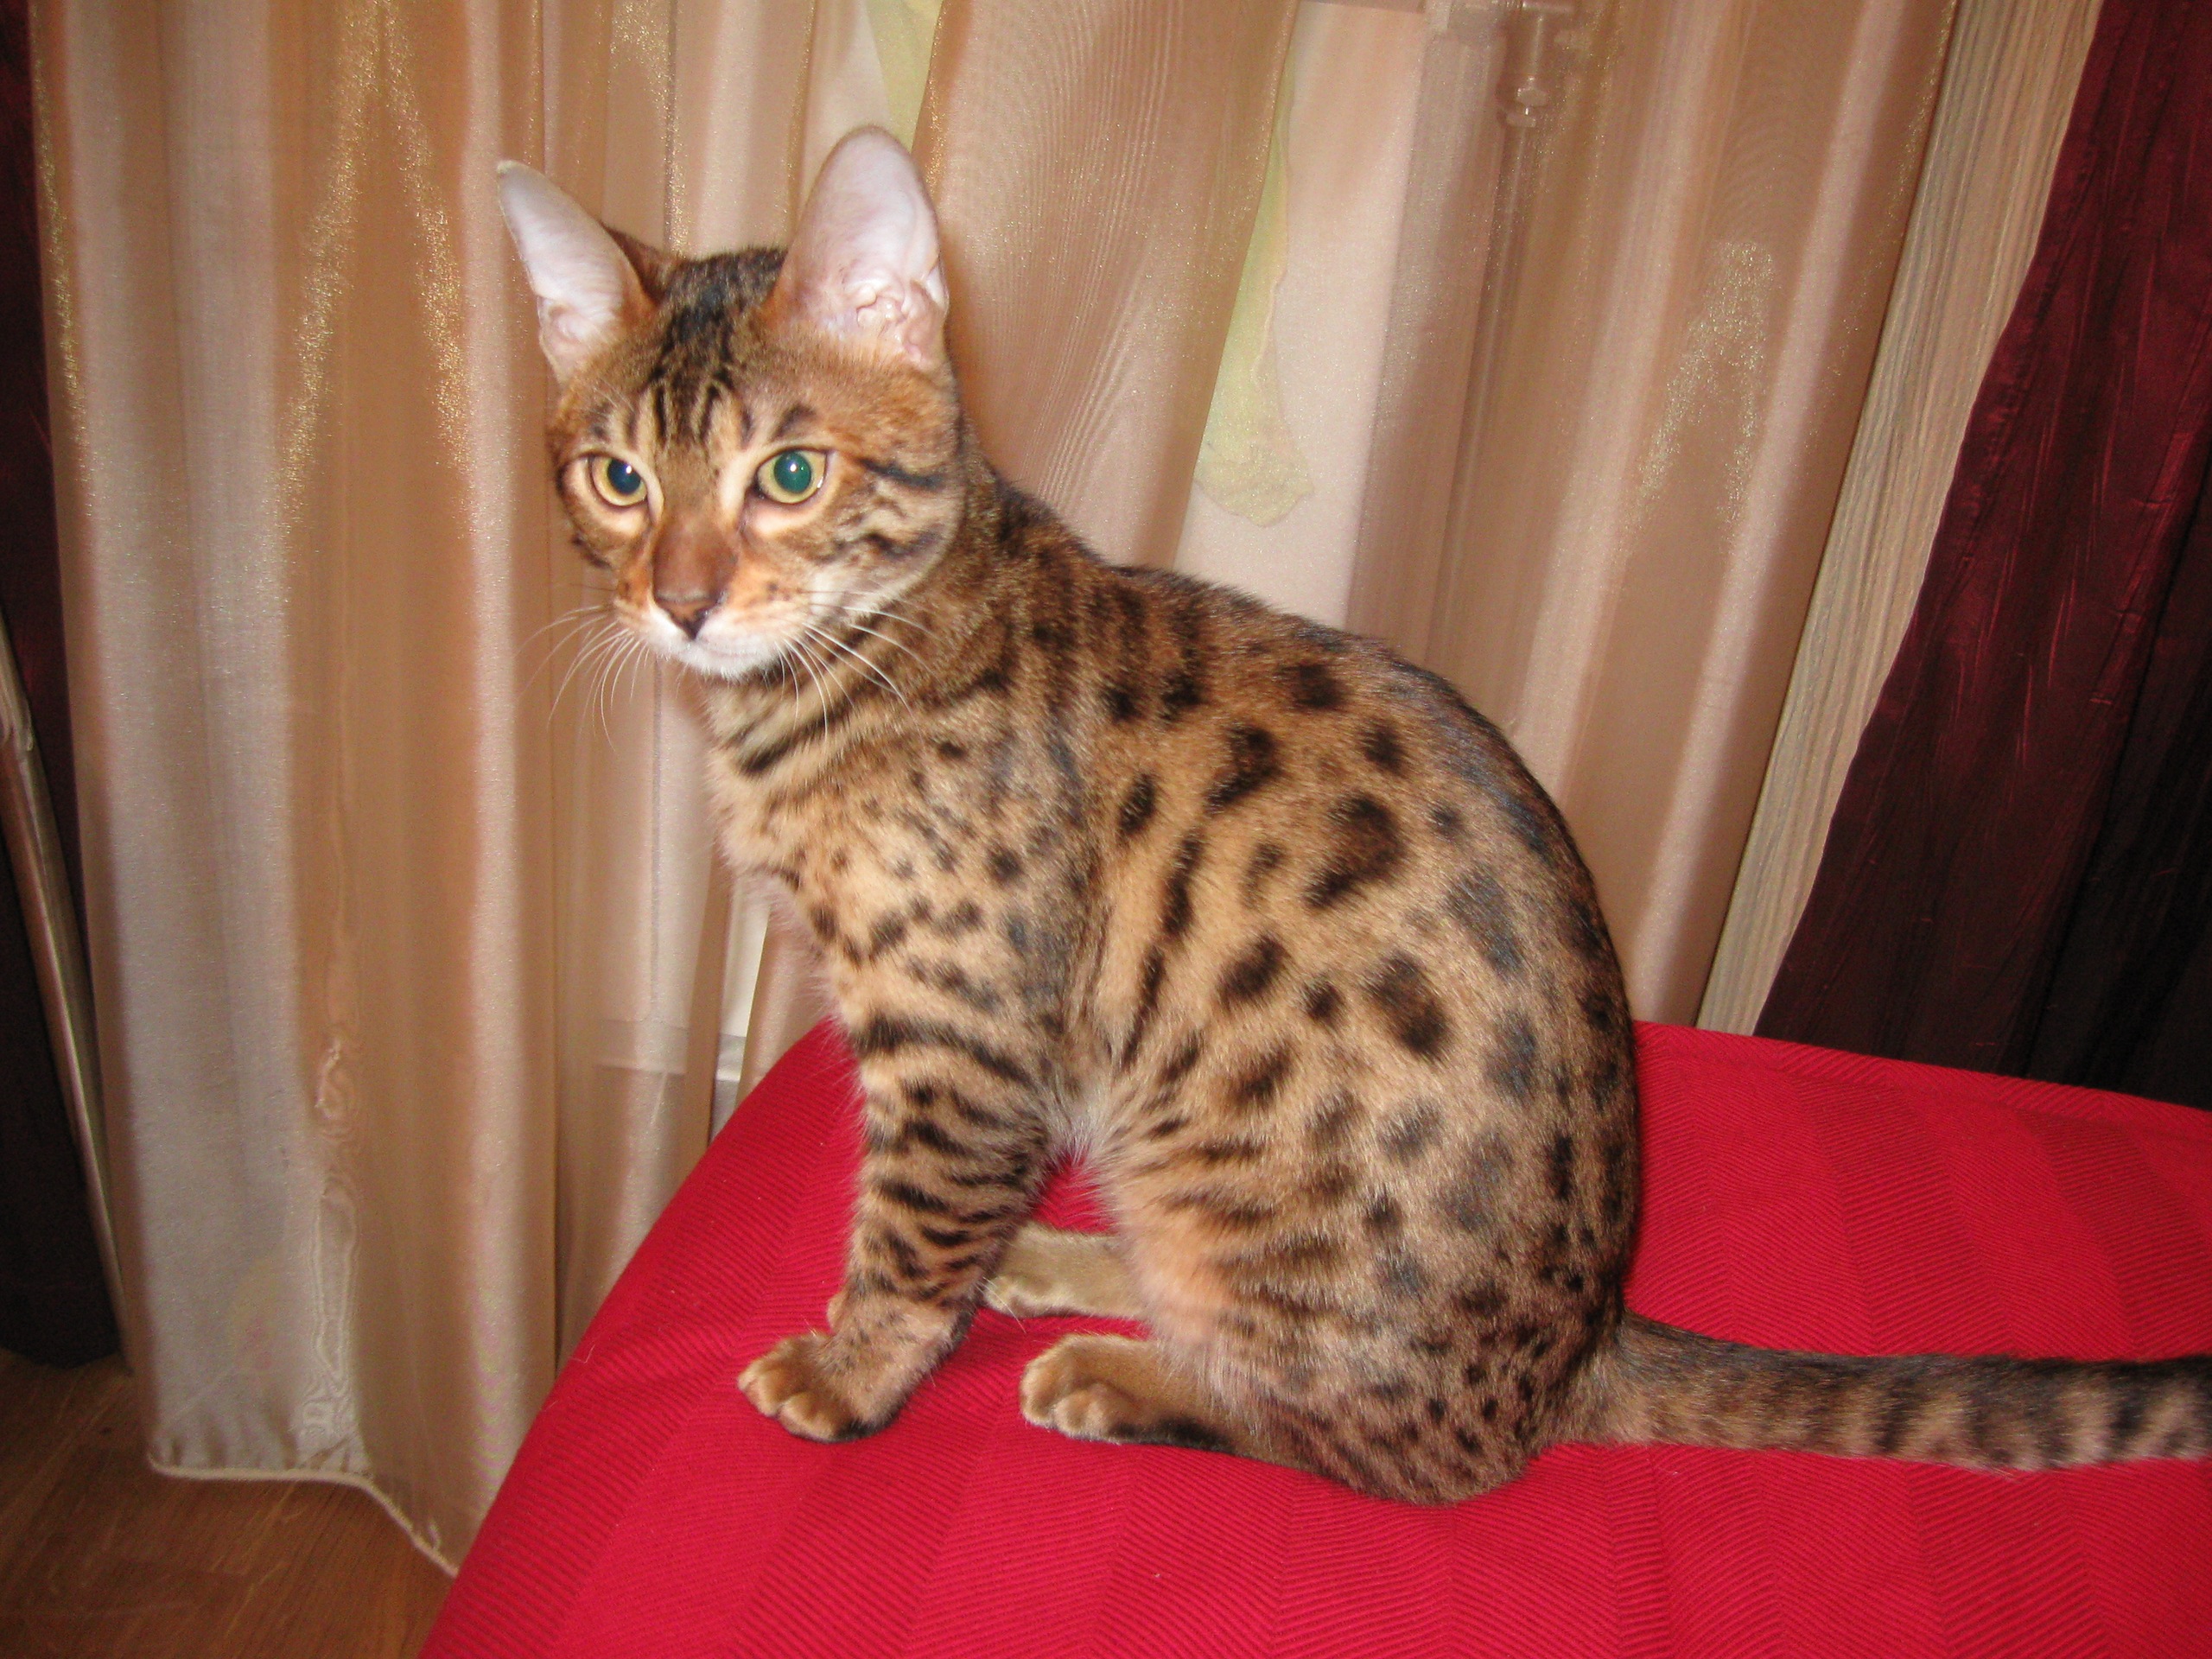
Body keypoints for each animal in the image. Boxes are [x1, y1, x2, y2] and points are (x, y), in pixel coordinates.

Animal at [498, 126, 2211, 1504]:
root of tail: (1584, 1345)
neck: (843, 676)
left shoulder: (962, 1041)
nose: (684, 605)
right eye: (616, 481)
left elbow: (911, 1238)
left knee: (1374, 1443)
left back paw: (1124, 1372)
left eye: (790, 474)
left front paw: (850, 1375)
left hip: (1279, 1237)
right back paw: (1068, 1263)